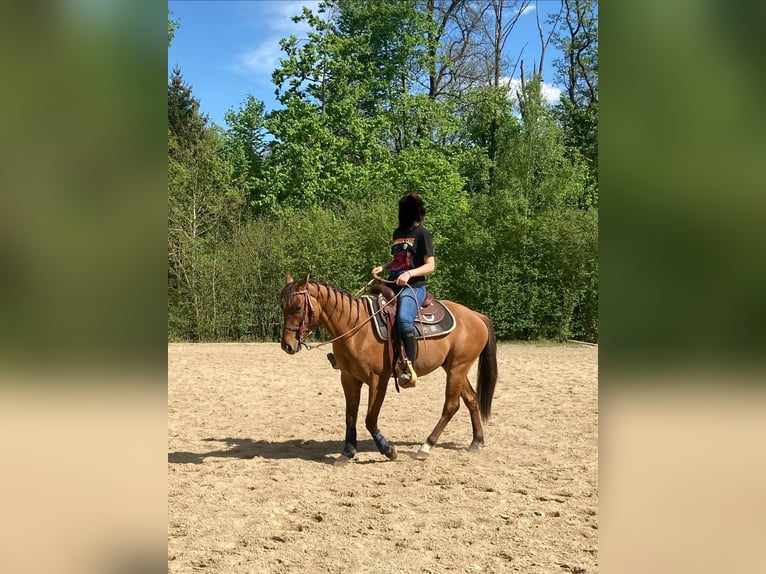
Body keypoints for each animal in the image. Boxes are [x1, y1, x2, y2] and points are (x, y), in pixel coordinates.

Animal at [279, 273, 497, 462]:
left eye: (297, 307)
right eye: (282, 307)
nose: (287, 345)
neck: (356, 328)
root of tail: (476, 315)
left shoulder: (378, 380)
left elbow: (370, 419)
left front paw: (388, 450)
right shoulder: (349, 379)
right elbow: (350, 416)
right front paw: (348, 452)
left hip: (457, 368)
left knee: (451, 406)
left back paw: (426, 446)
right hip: (454, 367)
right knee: (471, 399)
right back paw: (476, 442)